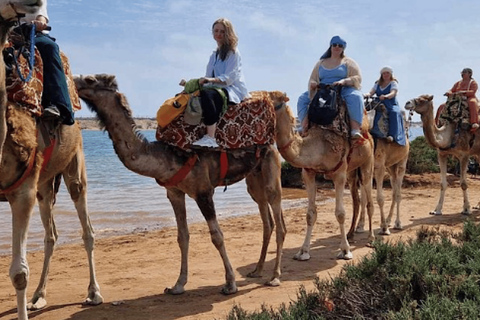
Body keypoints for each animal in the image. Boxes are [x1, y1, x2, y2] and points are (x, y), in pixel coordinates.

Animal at [0, 1, 104, 318]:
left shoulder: (21, 192)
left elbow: (19, 272)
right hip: (44, 184)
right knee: (51, 235)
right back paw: (38, 296)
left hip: (74, 167)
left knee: (87, 231)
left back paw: (94, 293)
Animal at [73, 72, 286, 296]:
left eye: (90, 79)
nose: (73, 82)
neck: (167, 156)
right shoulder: (174, 192)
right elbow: (182, 237)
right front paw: (178, 285)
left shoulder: (204, 192)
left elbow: (217, 236)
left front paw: (230, 284)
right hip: (254, 177)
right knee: (267, 221)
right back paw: (257, 270)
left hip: (271, 164)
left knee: (278, 219)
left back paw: (274, 277)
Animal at [272, 91, 376, 262]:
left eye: (273, 103)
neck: (318, 144)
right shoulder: (308, 173)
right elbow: (310, 214)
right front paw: (303, 251)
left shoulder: (339, 174)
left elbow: (340, 213)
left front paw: (345, 251)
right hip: (352, 171)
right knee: (356, 200)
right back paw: (351, 234)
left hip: (367, 162)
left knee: (369, 201)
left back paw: (371, 239)